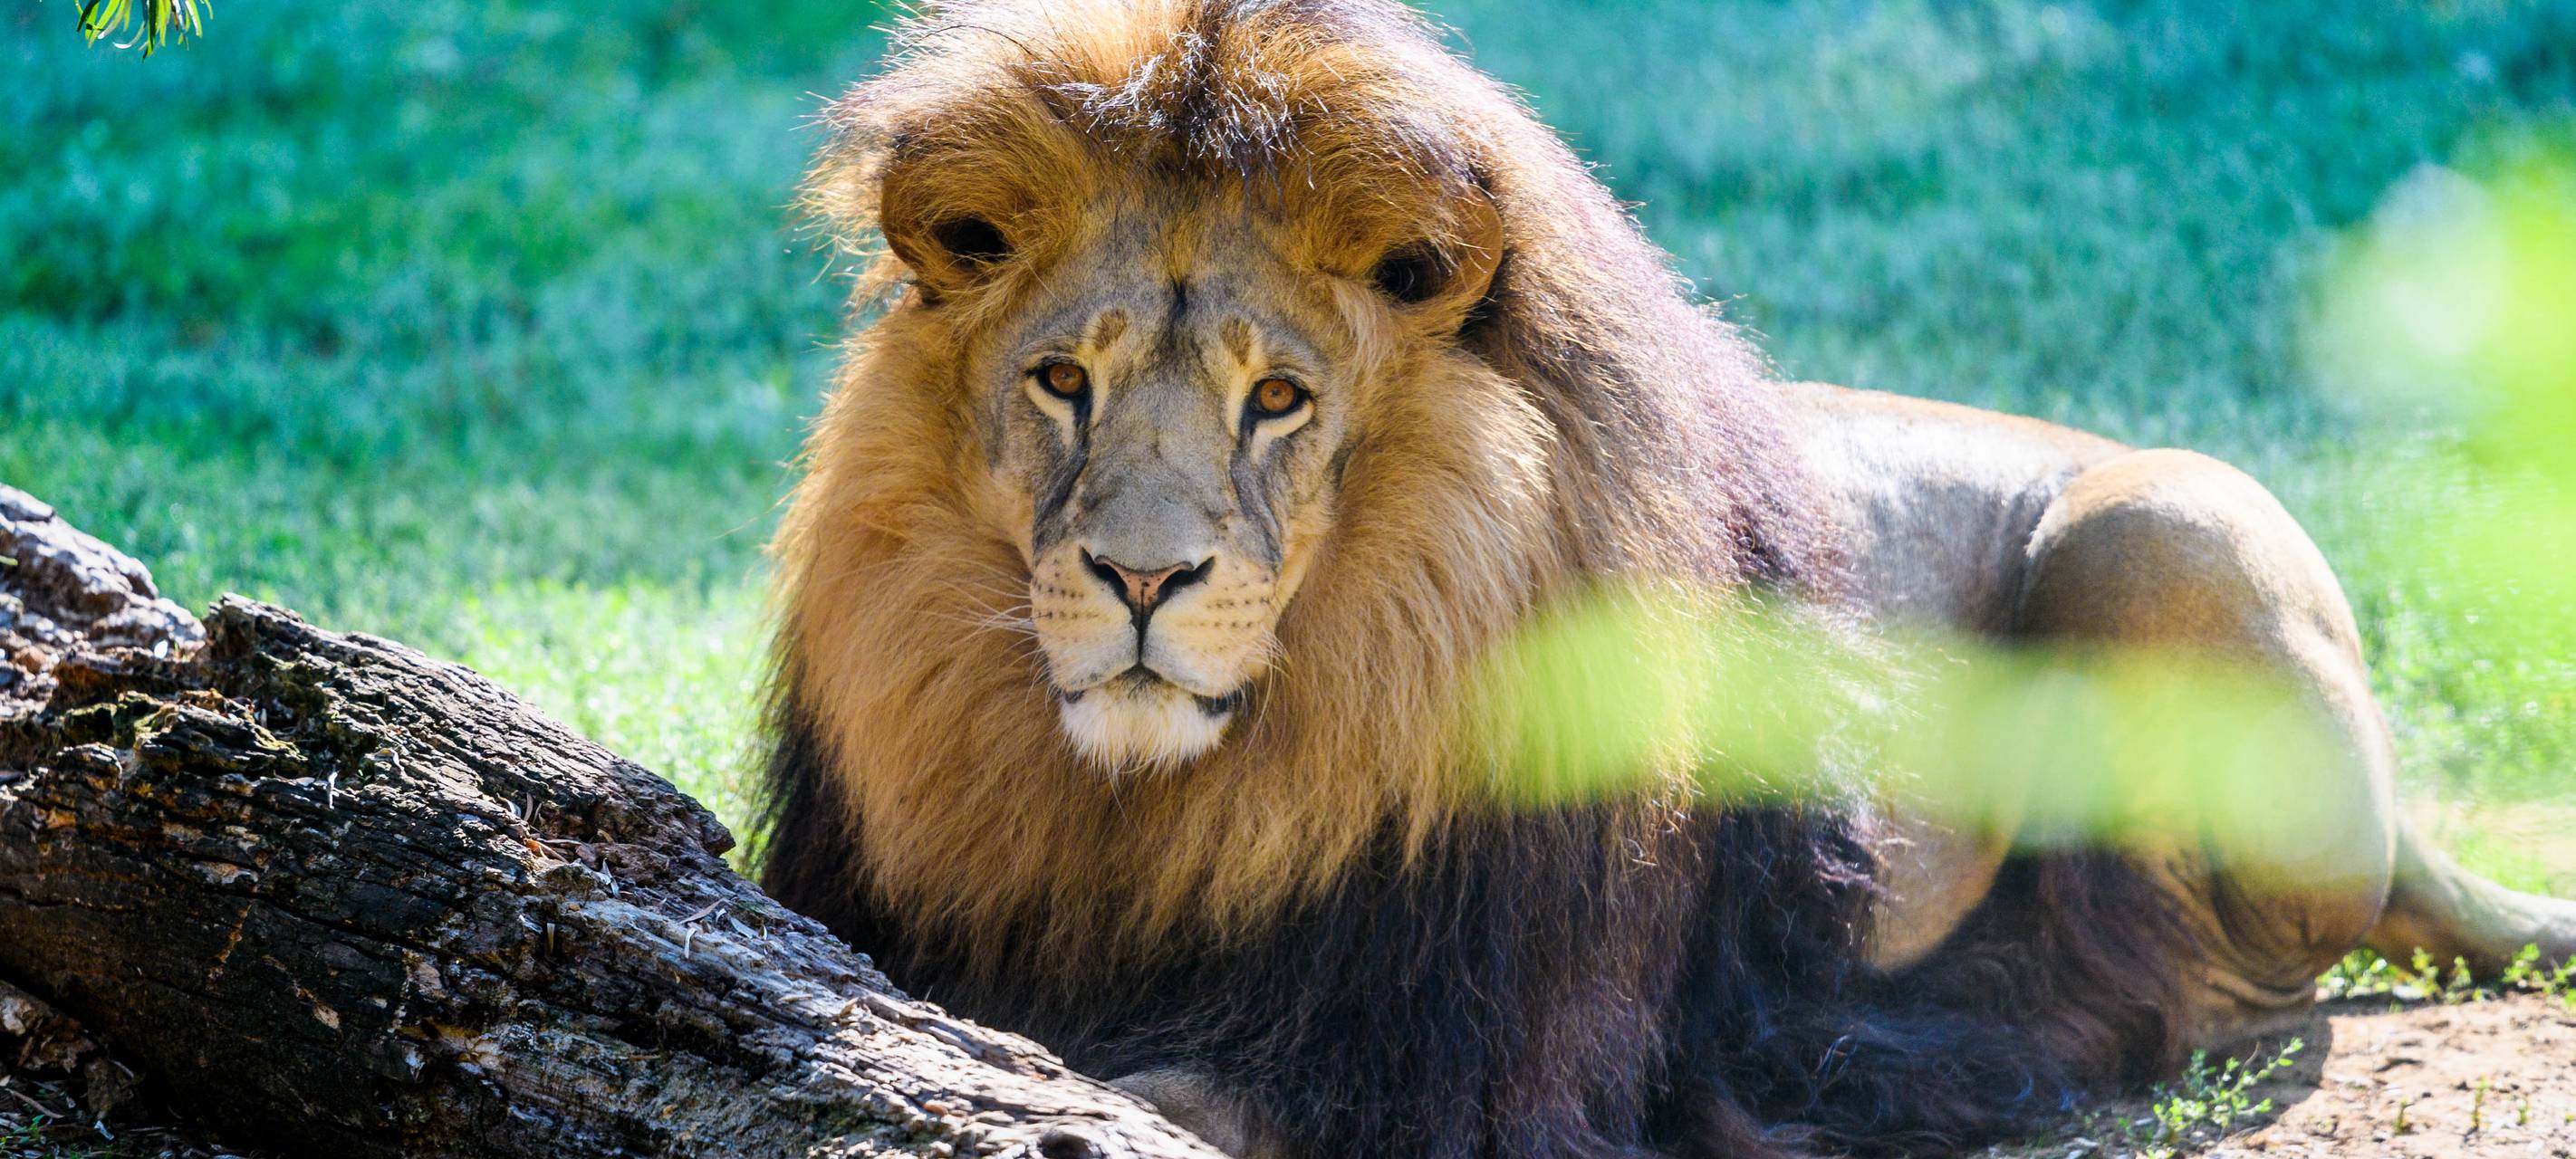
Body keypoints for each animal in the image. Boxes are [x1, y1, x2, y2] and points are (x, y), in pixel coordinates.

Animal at [757, 1, 2576, 1154]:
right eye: (1064, 381)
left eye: (1274, 399)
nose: (1143, 579)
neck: (1150, 816)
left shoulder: (1469, 1064)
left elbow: (1168, 1098)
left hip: (2168, 524)